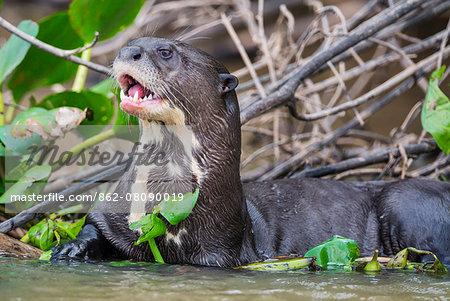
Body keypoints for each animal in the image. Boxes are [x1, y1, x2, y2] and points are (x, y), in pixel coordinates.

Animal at [51, 37, 450, 264]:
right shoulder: (114, 216)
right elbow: (92, 227)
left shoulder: (219, 252)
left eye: (166, 52)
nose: (126, 51)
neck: (166, 207)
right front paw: (70, 249)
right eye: (133, 42)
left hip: (406, 201)